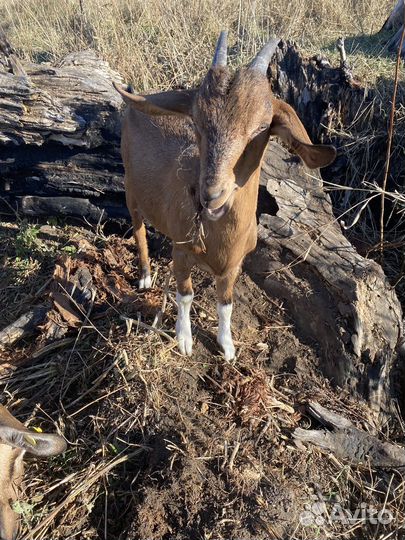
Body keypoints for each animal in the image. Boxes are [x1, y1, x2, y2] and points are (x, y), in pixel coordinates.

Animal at [113, 31, 334, 360]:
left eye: (261, 128)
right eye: (196, 121)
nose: (211, 195)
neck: (220, 241)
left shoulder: (234, 265)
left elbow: (225, 304)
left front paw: (227, 346)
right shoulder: (182, 252)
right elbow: (185, 294)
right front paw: (184, 339)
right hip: (131, 190)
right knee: (138, 230)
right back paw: (145, 276)